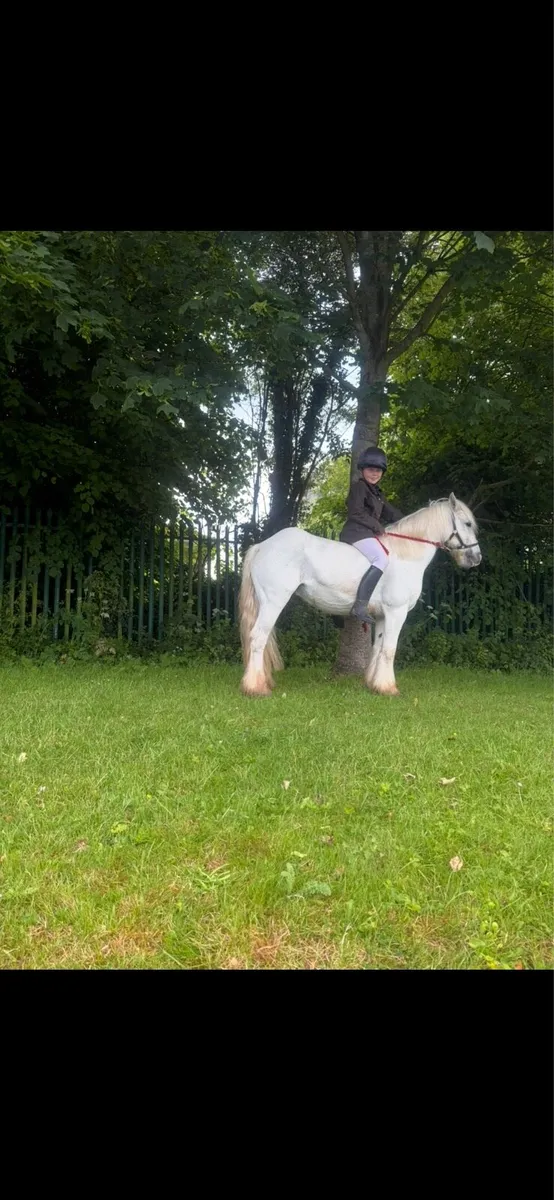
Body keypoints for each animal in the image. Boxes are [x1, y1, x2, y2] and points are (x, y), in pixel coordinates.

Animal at [238, 493, 482, 698]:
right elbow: (390, 649)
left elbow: (379, 648)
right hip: (273, 603)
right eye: (467, 524)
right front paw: (390, 688)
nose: (476, 558)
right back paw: (256, 688)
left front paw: (376, 685)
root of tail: (262, 546)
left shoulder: (383, 616)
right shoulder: (396, 612)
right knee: (258, 638)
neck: (405, 555)